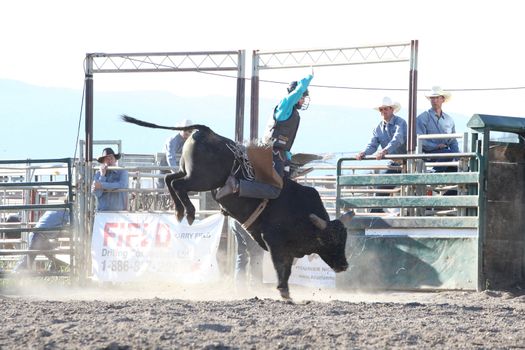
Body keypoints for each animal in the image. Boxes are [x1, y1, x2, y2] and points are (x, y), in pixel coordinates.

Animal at [121, 114, 354, 298]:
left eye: (344, 239)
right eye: (330, 240)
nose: (344, 265)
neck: (303, 214)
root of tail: (207, 132)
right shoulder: (274, 242)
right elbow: (282, 268)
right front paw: (284, 292)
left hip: (188, 172)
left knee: (170, 179)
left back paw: (180, 212)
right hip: (202, 179)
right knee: (178, 184)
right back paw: (190, 212)